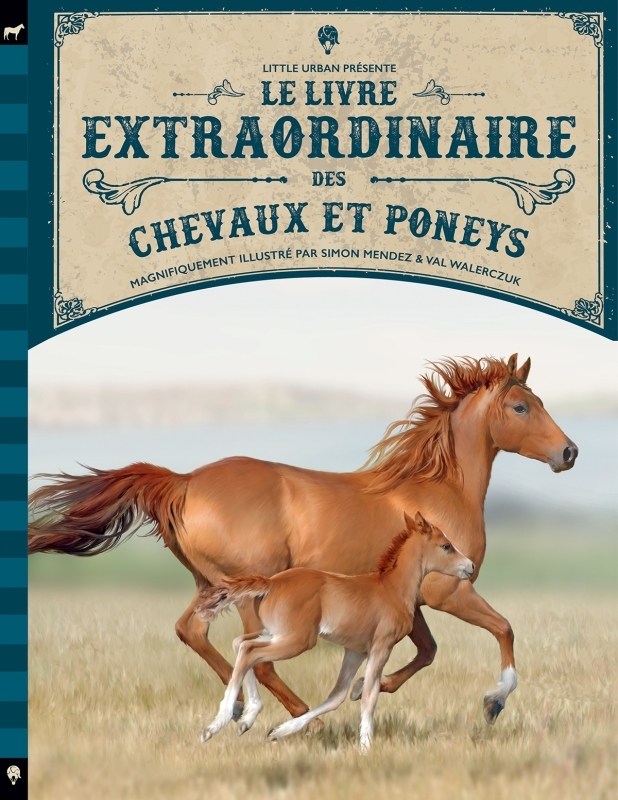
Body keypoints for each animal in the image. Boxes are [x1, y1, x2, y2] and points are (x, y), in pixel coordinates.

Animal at [196, 512, 475, 751]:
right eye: (446, 546)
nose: (470, 566)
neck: (392, 589)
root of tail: (271, 582)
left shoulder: (355, 651)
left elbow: (337, 696)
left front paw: (280, 731)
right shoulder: (381, 646)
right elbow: (369, 696)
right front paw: (365, 747)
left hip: (277, 634)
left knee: (241, 644)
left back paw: (246, 718)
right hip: (298, 640)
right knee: (250, 652)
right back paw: (216, 725)